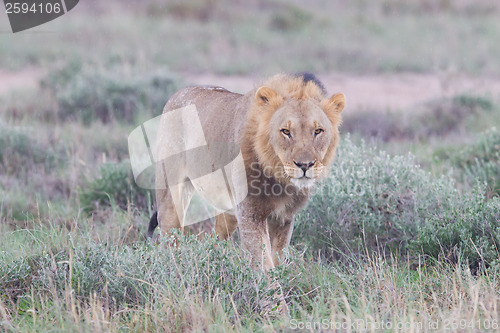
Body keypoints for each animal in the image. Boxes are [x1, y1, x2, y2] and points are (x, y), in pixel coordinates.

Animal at [147, 73, 344, 308]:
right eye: (286, 131)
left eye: (318, 131)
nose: (304, 165)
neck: (278, 176)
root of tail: (177, 94)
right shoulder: (251, 213)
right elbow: (264, 265)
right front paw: (276, 310)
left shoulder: (284, 218)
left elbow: (277, 261)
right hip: (171, 197)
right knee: (170, 241)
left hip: (227, 211)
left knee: (215, 239)